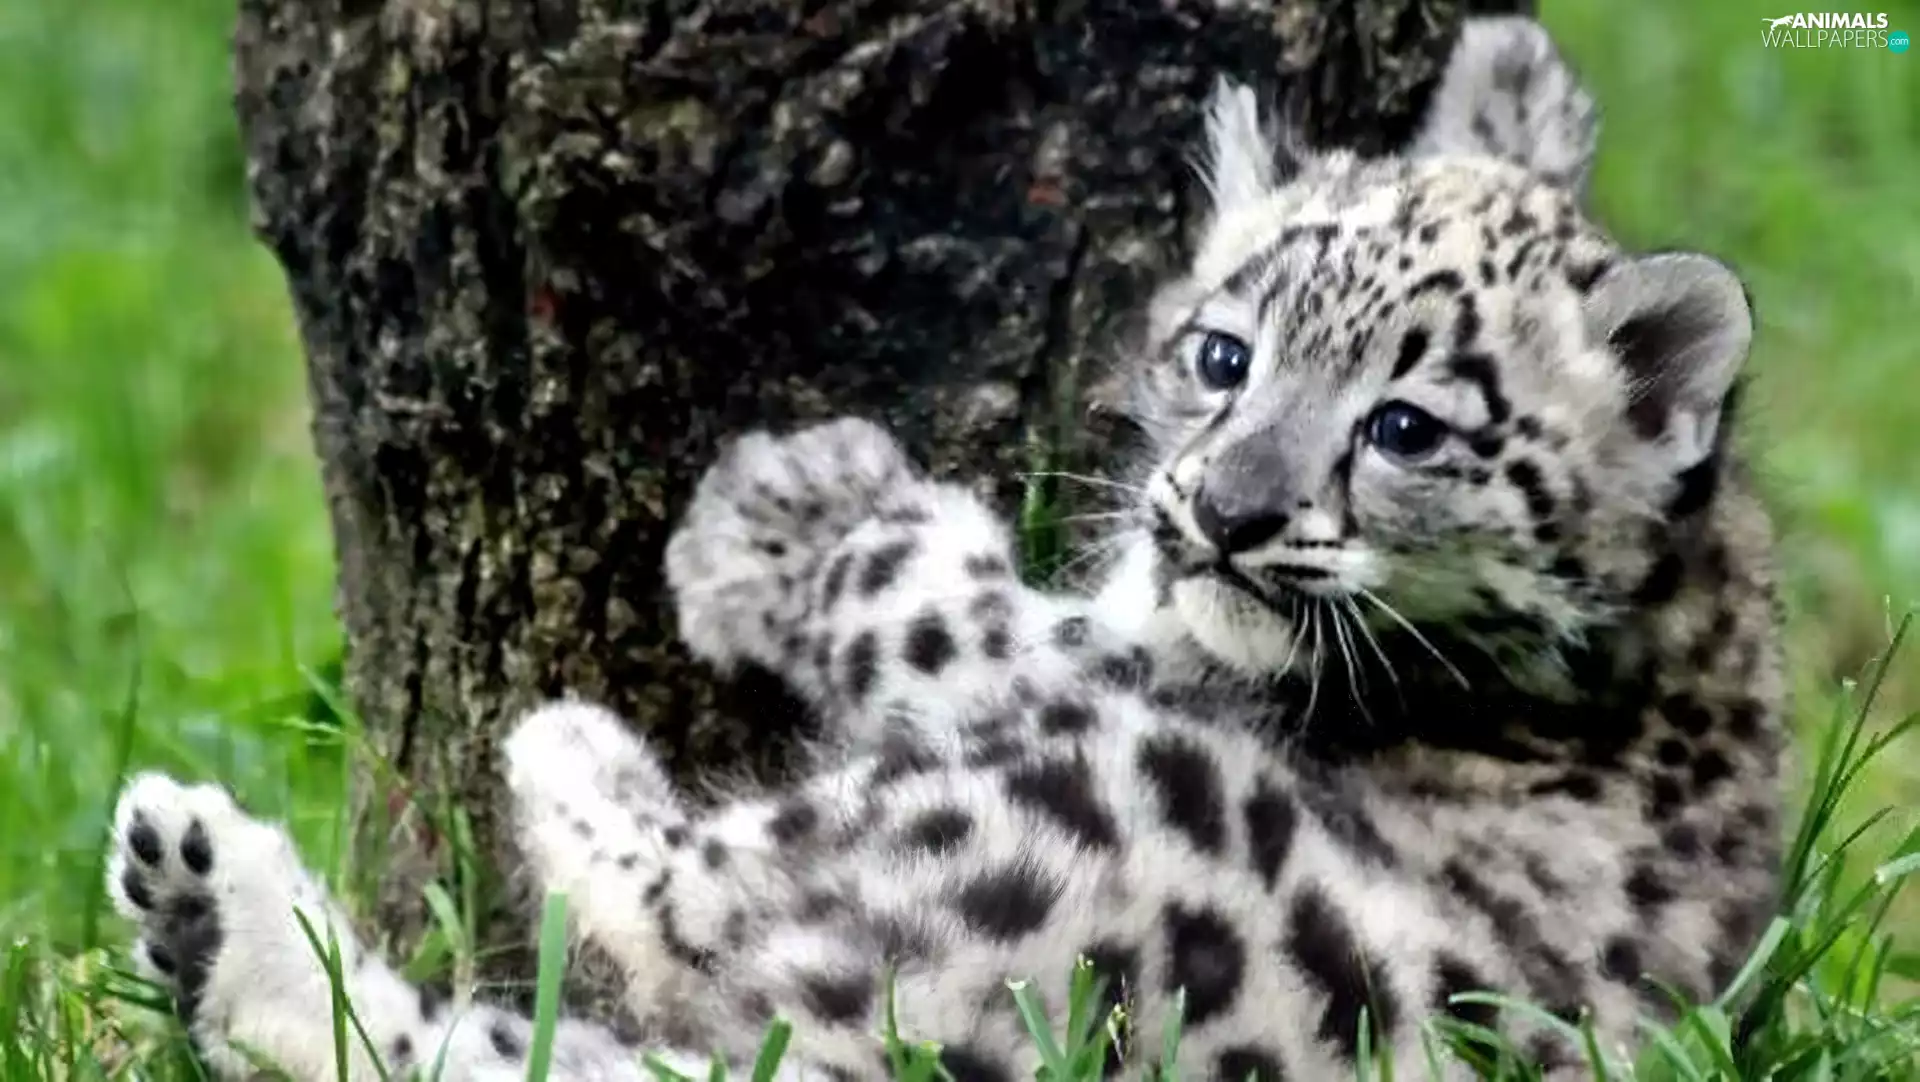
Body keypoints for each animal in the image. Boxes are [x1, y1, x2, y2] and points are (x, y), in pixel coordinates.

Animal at [105, 15, 1787, 1082]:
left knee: (674, 910)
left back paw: (458, 798)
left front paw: (786, 510)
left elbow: (926, 597)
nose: (1225, 513)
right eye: (1225, 353)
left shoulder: (1111, 659)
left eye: (1406, 428)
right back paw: (209, 910)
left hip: (1077, 797)